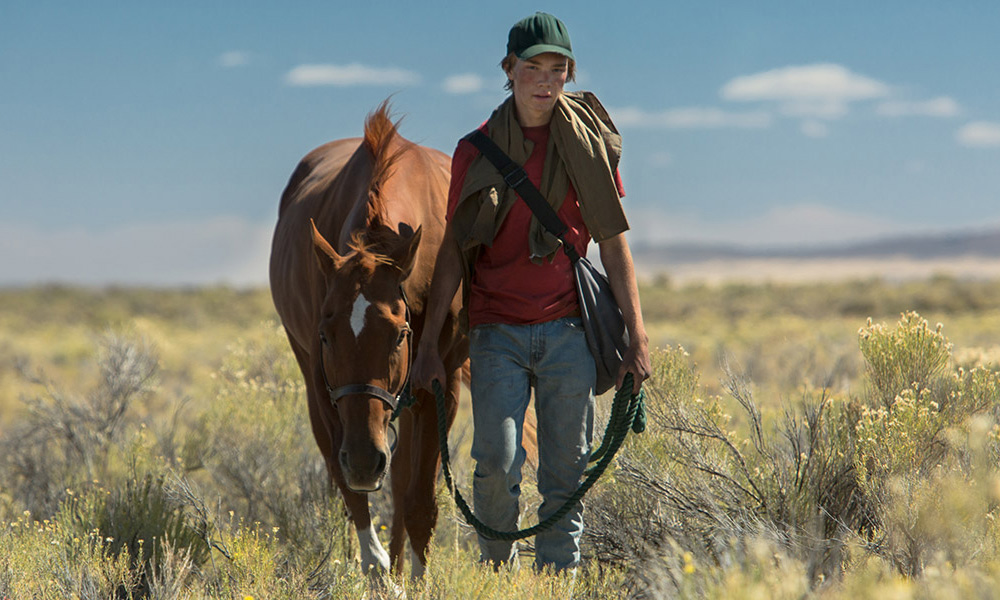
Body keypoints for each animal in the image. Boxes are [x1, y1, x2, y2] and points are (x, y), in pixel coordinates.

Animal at [268, 103, 466, 576]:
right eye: (326, 335)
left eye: (400, 335)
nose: (363, 460)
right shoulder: (326, 388)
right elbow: (354, 498)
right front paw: (385, 577)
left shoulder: (440, 385)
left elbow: (419, 505)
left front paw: (416, 578)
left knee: (402, 479)